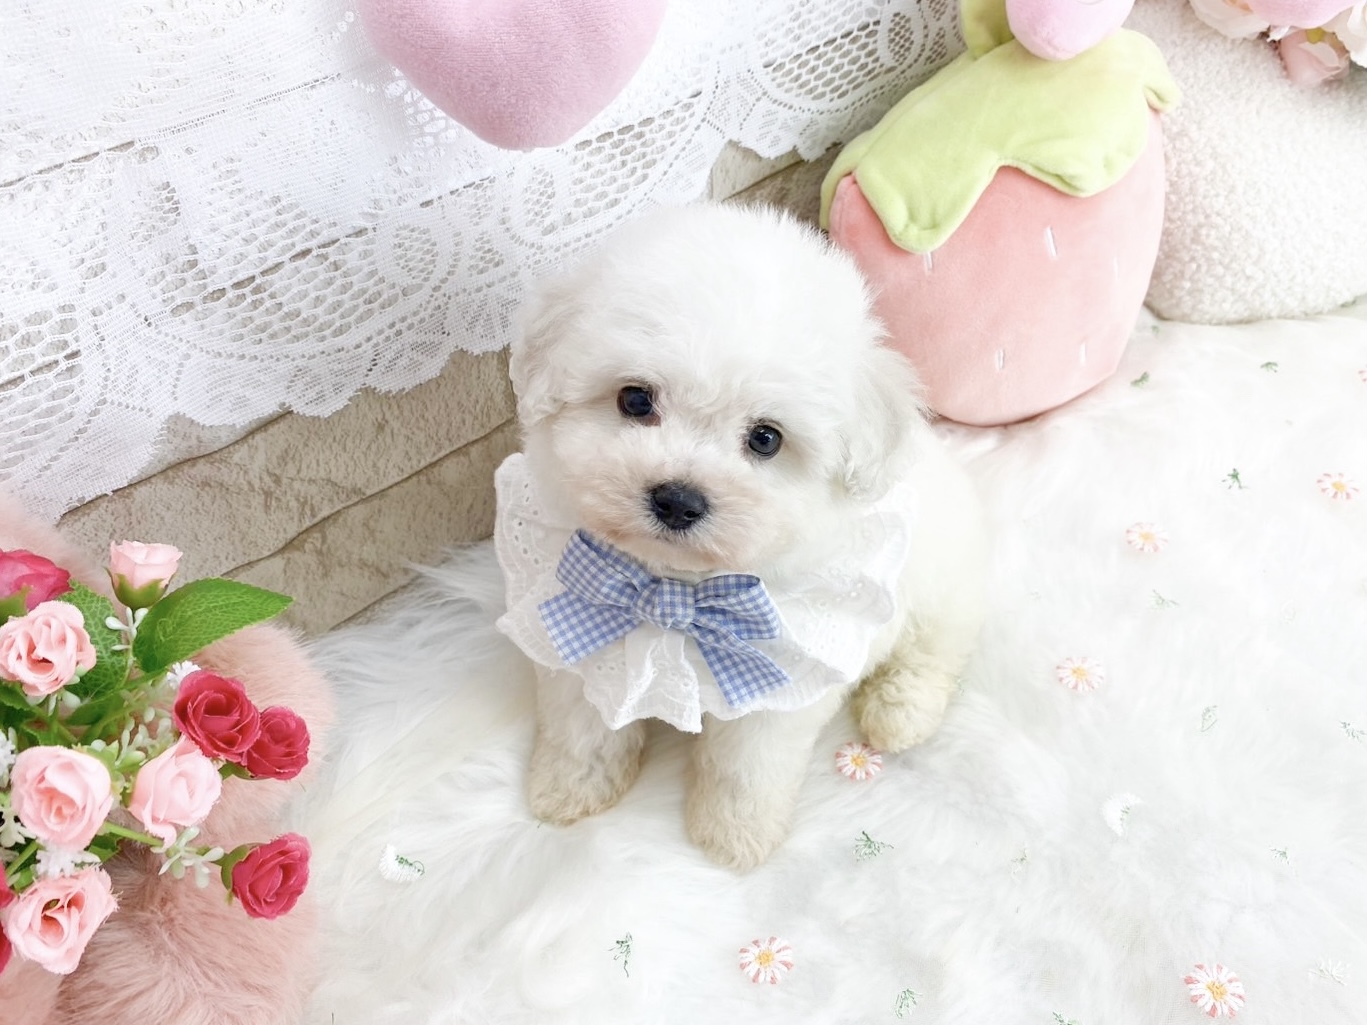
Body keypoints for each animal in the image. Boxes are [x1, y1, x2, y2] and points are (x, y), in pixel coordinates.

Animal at [494, 202, 987, 870]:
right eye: (635, 399)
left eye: (766, 438)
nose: (677, 499)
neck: (676, 591)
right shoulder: (577, 637)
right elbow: (582, 727)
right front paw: (568, 789)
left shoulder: (779, 693)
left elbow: (747, 768)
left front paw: (734, 835)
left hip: (940, 577)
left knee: (936, 645)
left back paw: (900, 710)